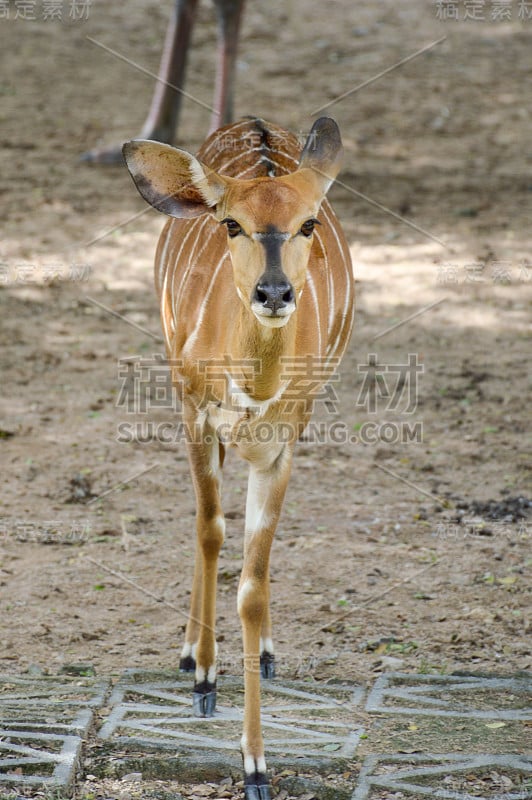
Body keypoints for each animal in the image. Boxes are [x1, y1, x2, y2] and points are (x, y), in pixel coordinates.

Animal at [123, 114, 356, 800]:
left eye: (308, 223)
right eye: (231, 223)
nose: (273, 291)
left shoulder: (283, 444)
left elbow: (250, 587)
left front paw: (256, 767)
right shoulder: (196, 414)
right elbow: (208, 529)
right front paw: (205, 678)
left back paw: (267, 652)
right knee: (208, 526)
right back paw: (191, 659)